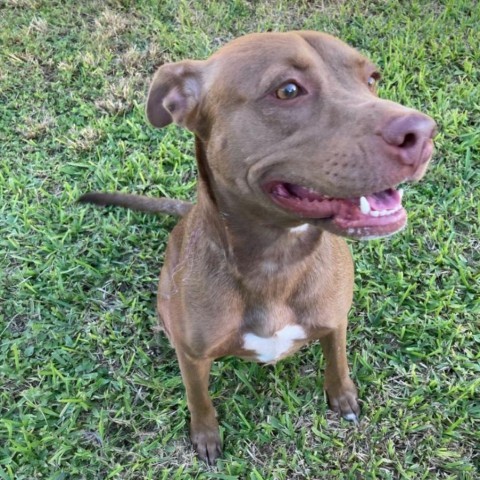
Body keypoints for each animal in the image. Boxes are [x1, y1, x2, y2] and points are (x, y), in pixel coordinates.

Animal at [80, 31, 436, 464]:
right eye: (287, 90)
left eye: (372, 79)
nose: (424, 132)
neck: (276, 261)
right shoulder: (193, 357)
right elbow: (199, 399)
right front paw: (205, 435)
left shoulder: (335, 322)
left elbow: (338, 361)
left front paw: (343, 397)